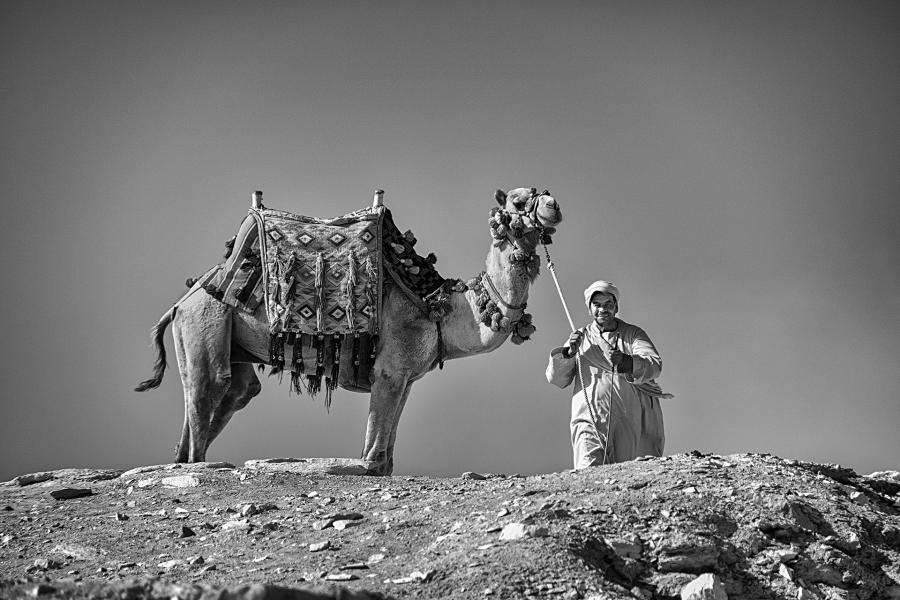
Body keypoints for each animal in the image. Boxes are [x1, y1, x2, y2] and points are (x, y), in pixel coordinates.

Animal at [136, 187, 562, 475]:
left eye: (541, 192)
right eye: (518, 202)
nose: (554, 205)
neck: (438, 308)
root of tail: (181, 302)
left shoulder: (407, 377)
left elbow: (387, 454)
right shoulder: (390, 369)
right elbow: (373, 457)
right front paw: (356, 467)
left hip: (227, 338)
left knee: (237, 390)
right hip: (204, 321)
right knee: (208, 385)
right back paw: (197, 464)